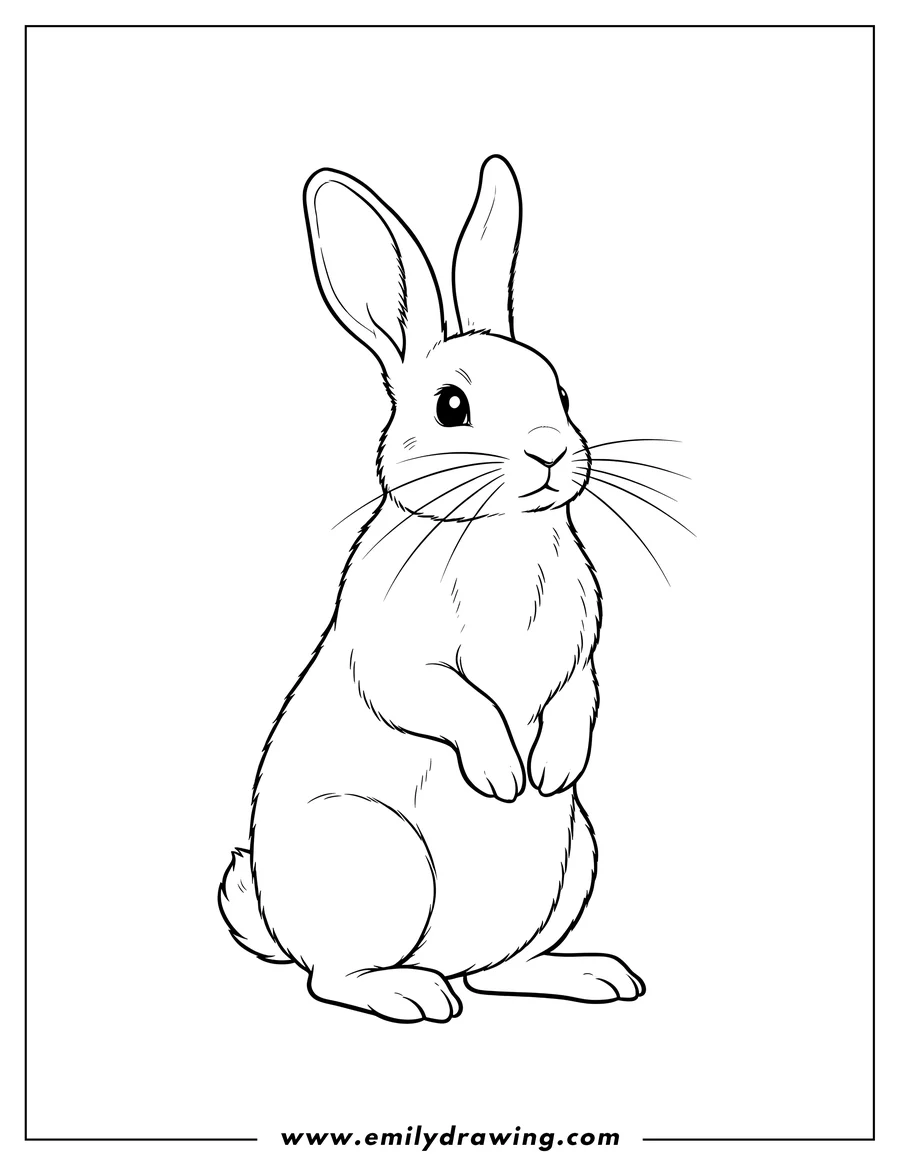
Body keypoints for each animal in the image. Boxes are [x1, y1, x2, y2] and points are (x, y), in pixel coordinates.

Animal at [218, 155, 646, 1022]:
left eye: (561, 392)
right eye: (454, 406)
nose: (552, 451)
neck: (497, 527)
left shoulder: (581, 650)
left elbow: (578, 698)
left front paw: (551, 770)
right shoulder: (399, 657)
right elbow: (448, 699)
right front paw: (504, 776)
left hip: (575, 858)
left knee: (502, 968)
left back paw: (590, 975)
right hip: (379, 857)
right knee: (332, 977)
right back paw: (412, 995)